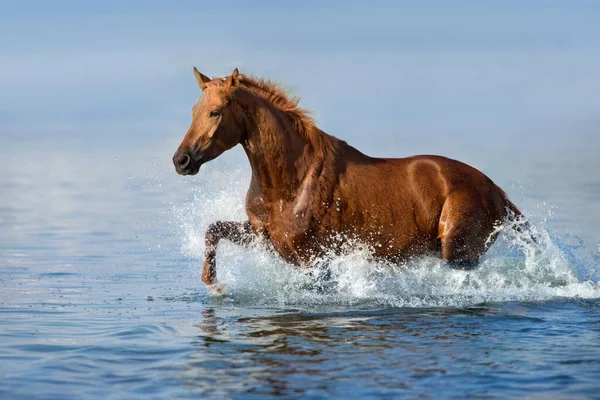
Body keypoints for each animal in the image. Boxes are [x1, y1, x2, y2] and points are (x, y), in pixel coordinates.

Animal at [171, 68, 524, 294]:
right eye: (193, 111)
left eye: (216, 112)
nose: (181, 160)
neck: (289, 184)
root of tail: (497, 192)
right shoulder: (263, 237)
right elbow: (213, 230)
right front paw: (214, 284)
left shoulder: (312, 259)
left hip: (459, 252)